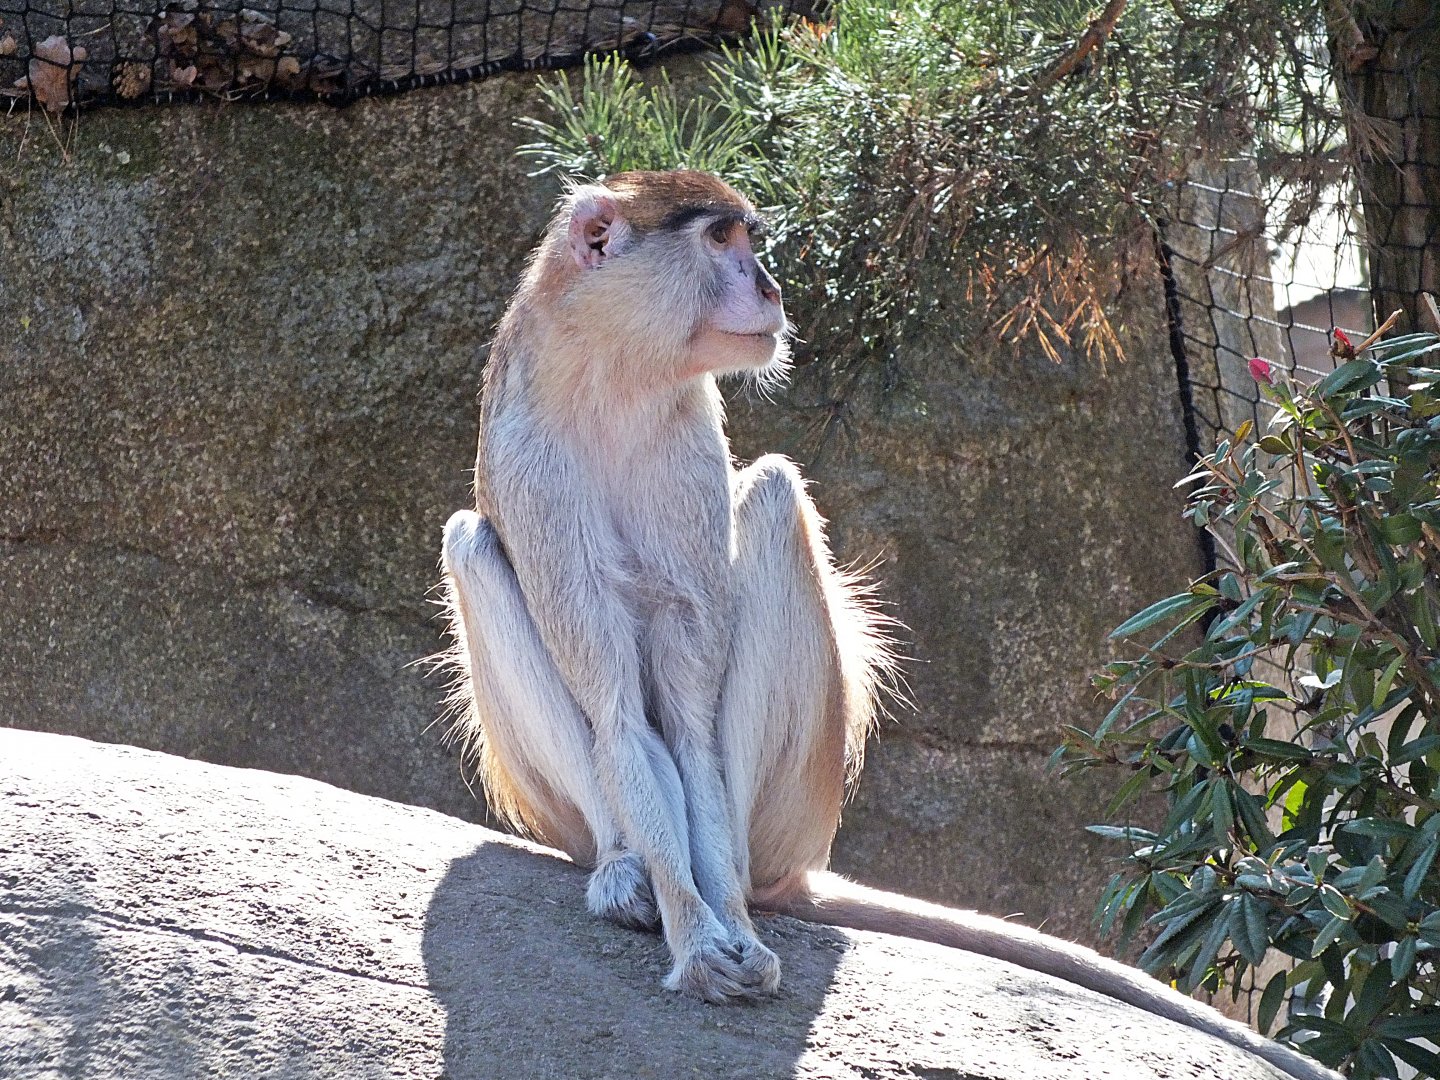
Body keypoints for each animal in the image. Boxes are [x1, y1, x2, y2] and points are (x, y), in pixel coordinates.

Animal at [439, 170, 1338, 1080]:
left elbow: (689, 724)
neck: (614, 374)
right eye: (721, 241)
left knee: (772, 498)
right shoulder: (534, 465)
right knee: (472, 544)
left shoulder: (686, 447)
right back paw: (623, 870)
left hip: (791, 805)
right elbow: (620, 714)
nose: (771, 289)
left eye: (747, 239)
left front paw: (725, 926)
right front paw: (693, 938)